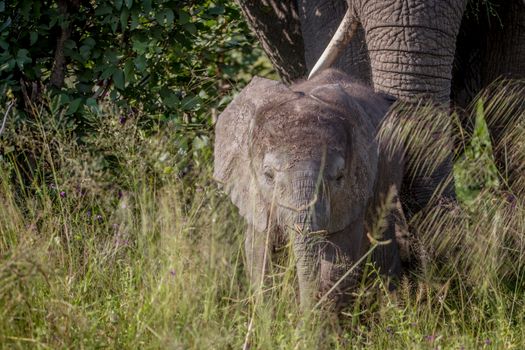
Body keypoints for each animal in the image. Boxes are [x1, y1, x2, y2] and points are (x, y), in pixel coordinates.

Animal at [213, 68, 406, 308]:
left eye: (339, 177)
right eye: (268, 175)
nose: (299, 310)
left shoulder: (352, 196)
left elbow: (338, 261)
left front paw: (313, 316)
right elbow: (258, 253)